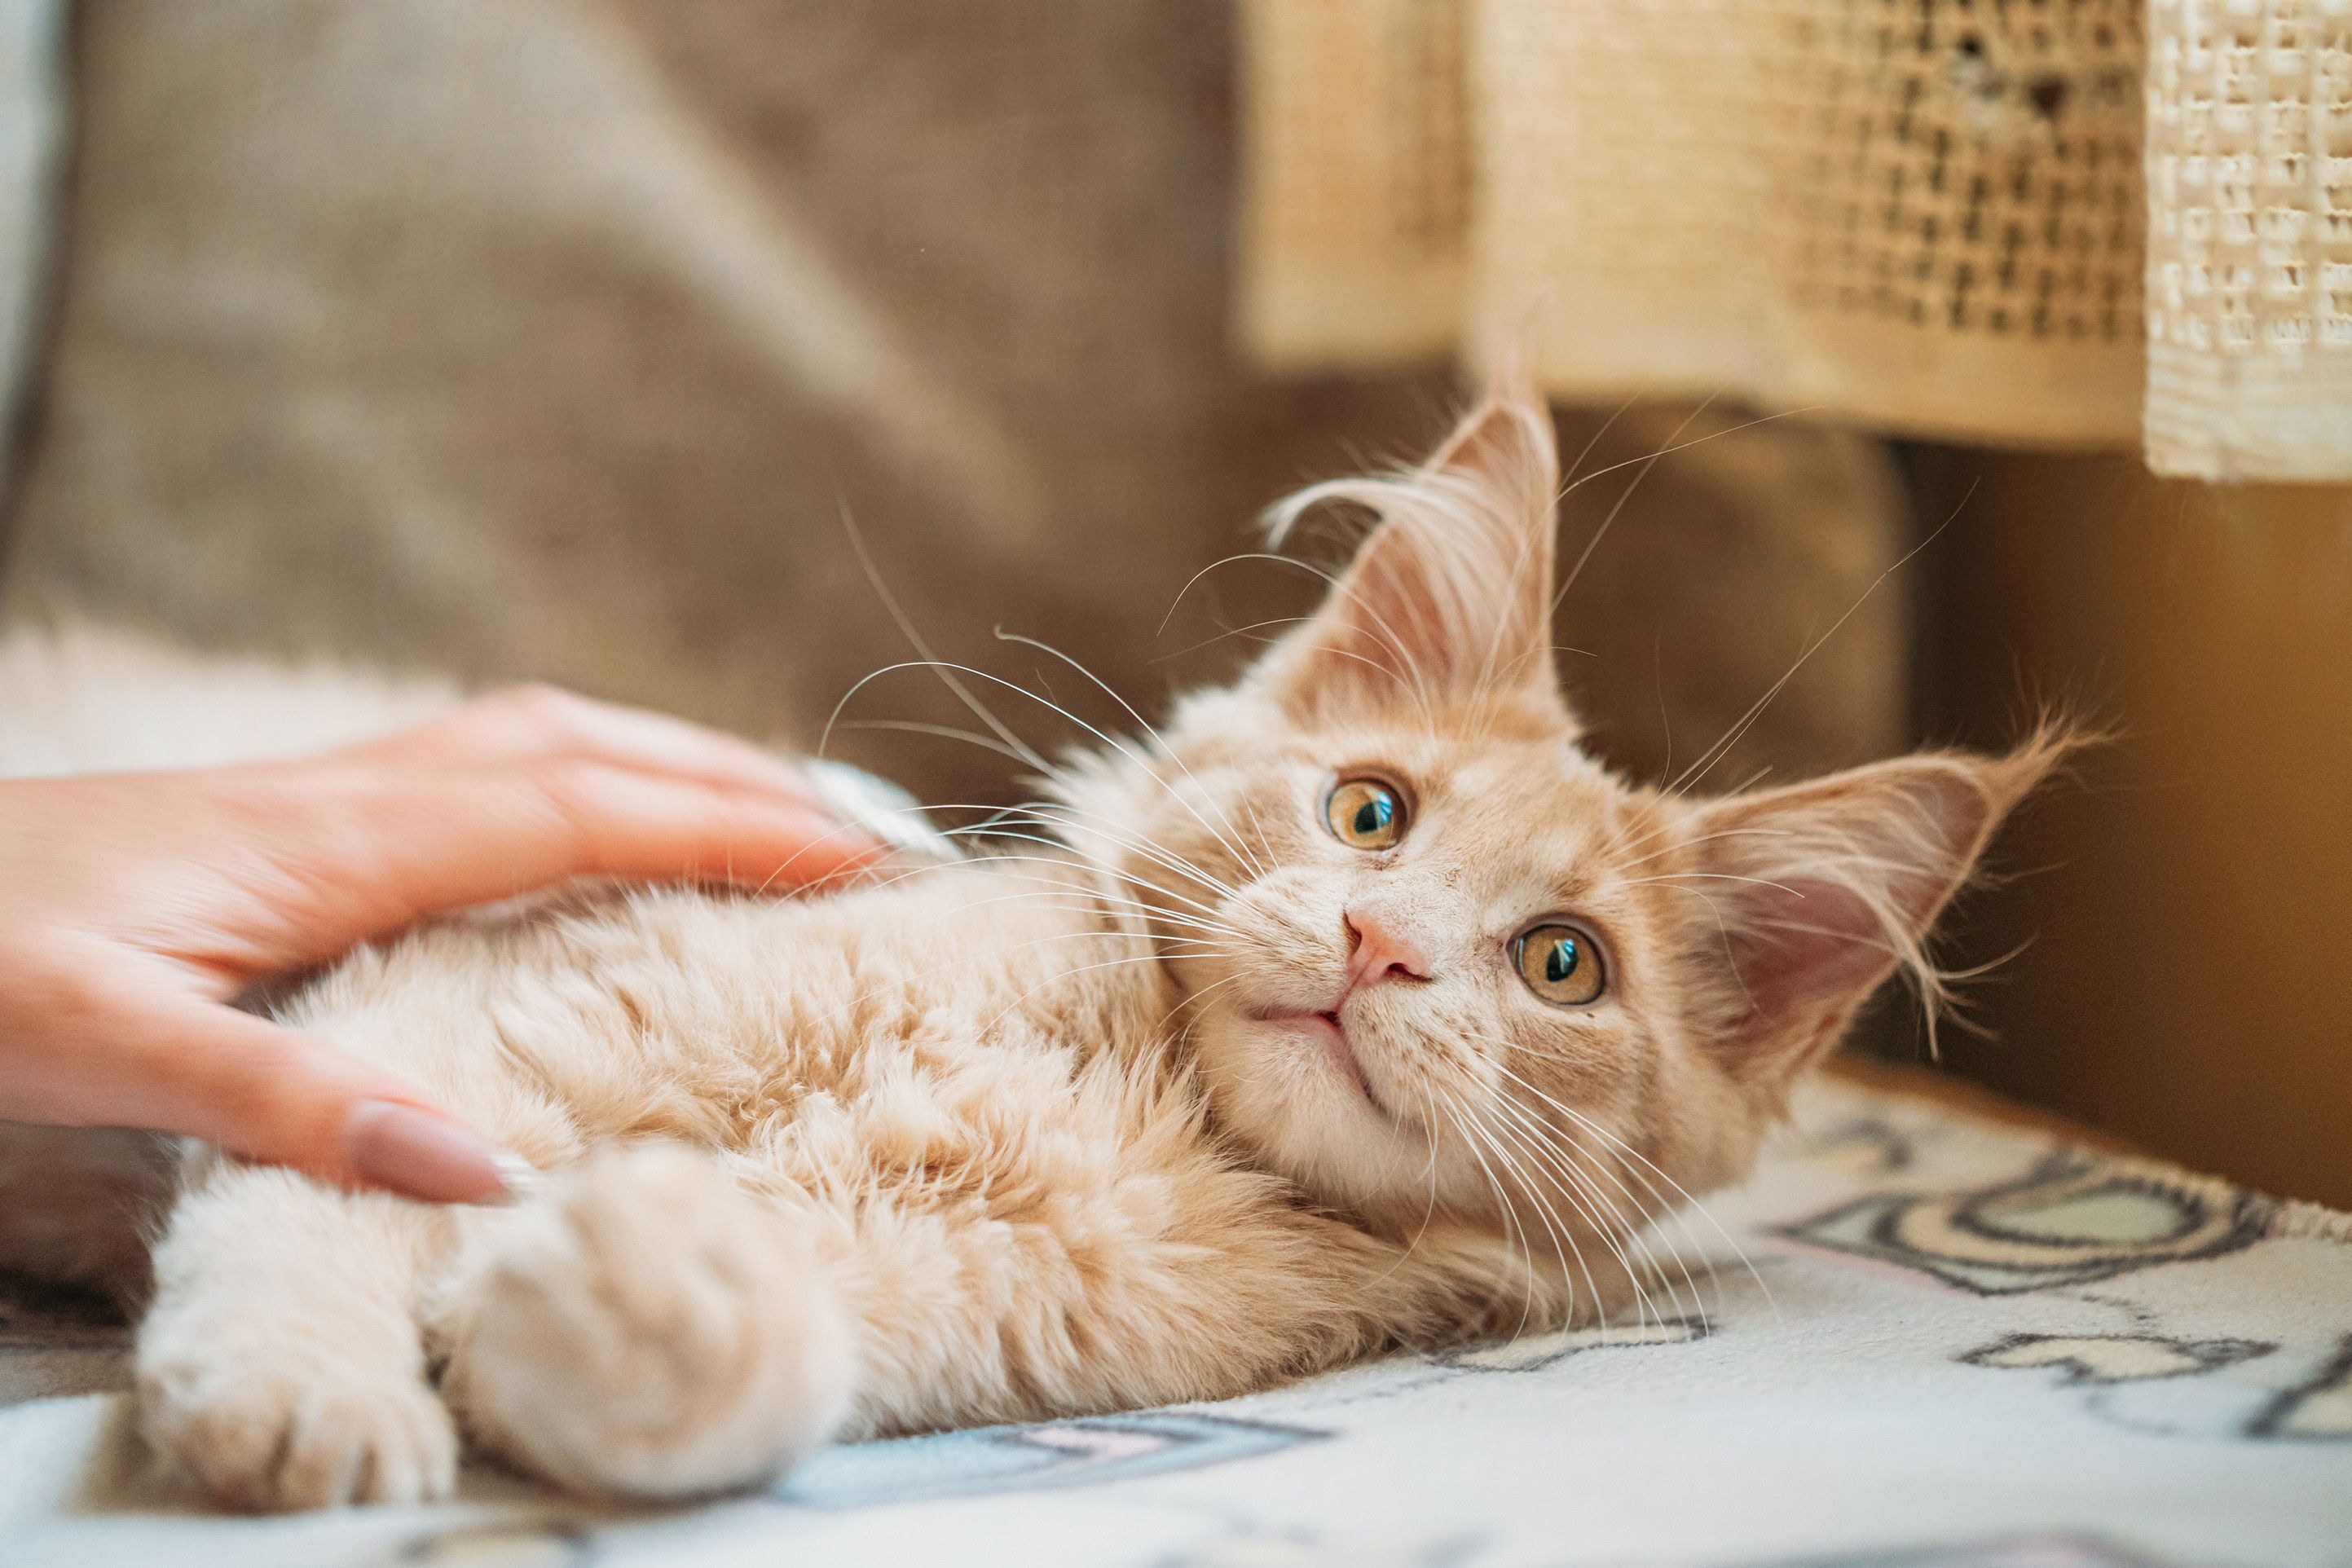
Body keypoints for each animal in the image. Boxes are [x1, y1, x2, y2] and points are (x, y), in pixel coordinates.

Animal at [0, 373, 2060, 1513]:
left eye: (1563, 963)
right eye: (1370, 813)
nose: (1380, 944)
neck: (1114, 1082)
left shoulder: (999, 1311)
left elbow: (744, 1363)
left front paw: (627, 1288)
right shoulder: (453, 1027)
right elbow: (314, 1208)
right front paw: (310, 1396)